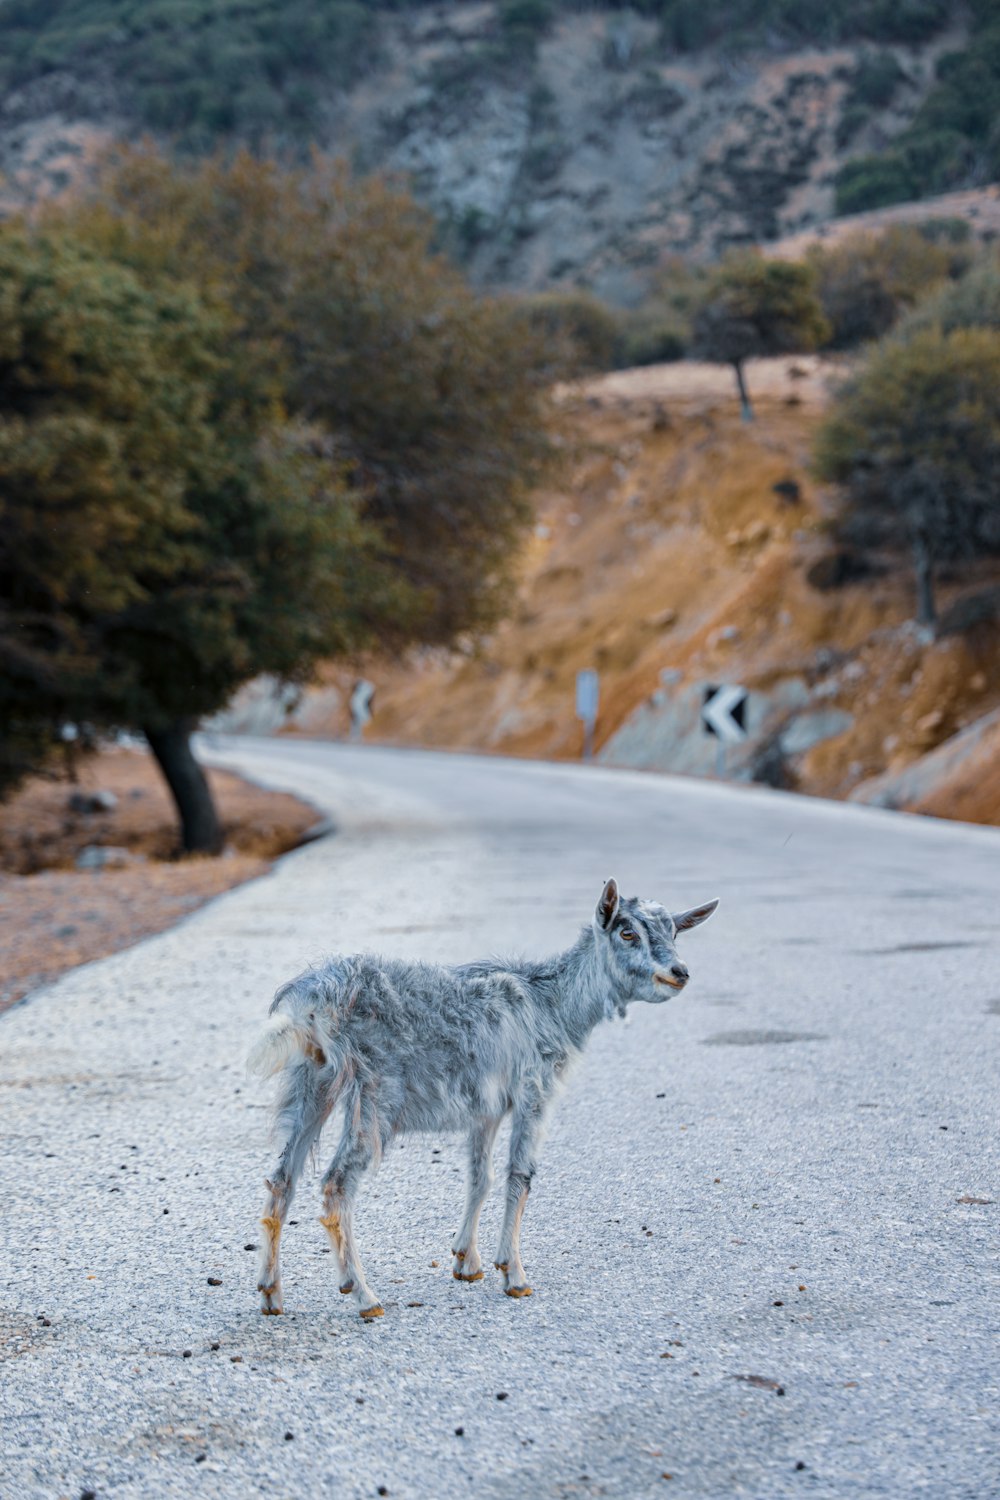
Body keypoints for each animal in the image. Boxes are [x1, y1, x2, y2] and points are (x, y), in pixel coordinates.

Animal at [248, 876, 719, 1320]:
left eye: (673, 932)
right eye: (627, 932)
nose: (679, 972)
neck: (554, 1007)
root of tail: (312, 1003)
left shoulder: (485, 1109)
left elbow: (480, 1177)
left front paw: (466, 1261)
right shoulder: (535, 1089)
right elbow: (520, 1175)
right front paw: (514, 1274)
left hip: (312, 1082)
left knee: (282, 1178)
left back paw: (271, 1295)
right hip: (374, 1094)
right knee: (336, 1184)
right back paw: (363, 1295)